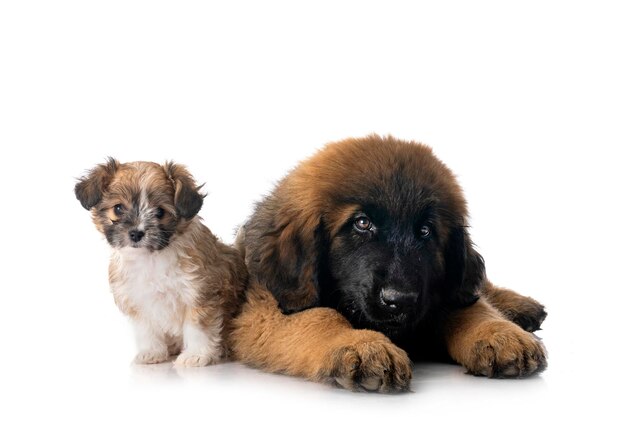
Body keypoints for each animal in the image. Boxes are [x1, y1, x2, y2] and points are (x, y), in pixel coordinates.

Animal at [75, 159, 246, 368]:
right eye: (118, 208)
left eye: (160, 212)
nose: (136, 233)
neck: (151, 258)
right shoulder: (137, 300)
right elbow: (146, 329)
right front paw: (152, 352)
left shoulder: (200, 293)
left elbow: (198, 327)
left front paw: (196, 355)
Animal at [230, 135, 544, 392]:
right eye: (362, 223)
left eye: (425, 231)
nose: (400, 300)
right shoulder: (261, 310)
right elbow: (319, 316)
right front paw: (361, 344)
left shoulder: (445, 291)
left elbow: (472, 308)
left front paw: (500, 333)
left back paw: (522, 306)